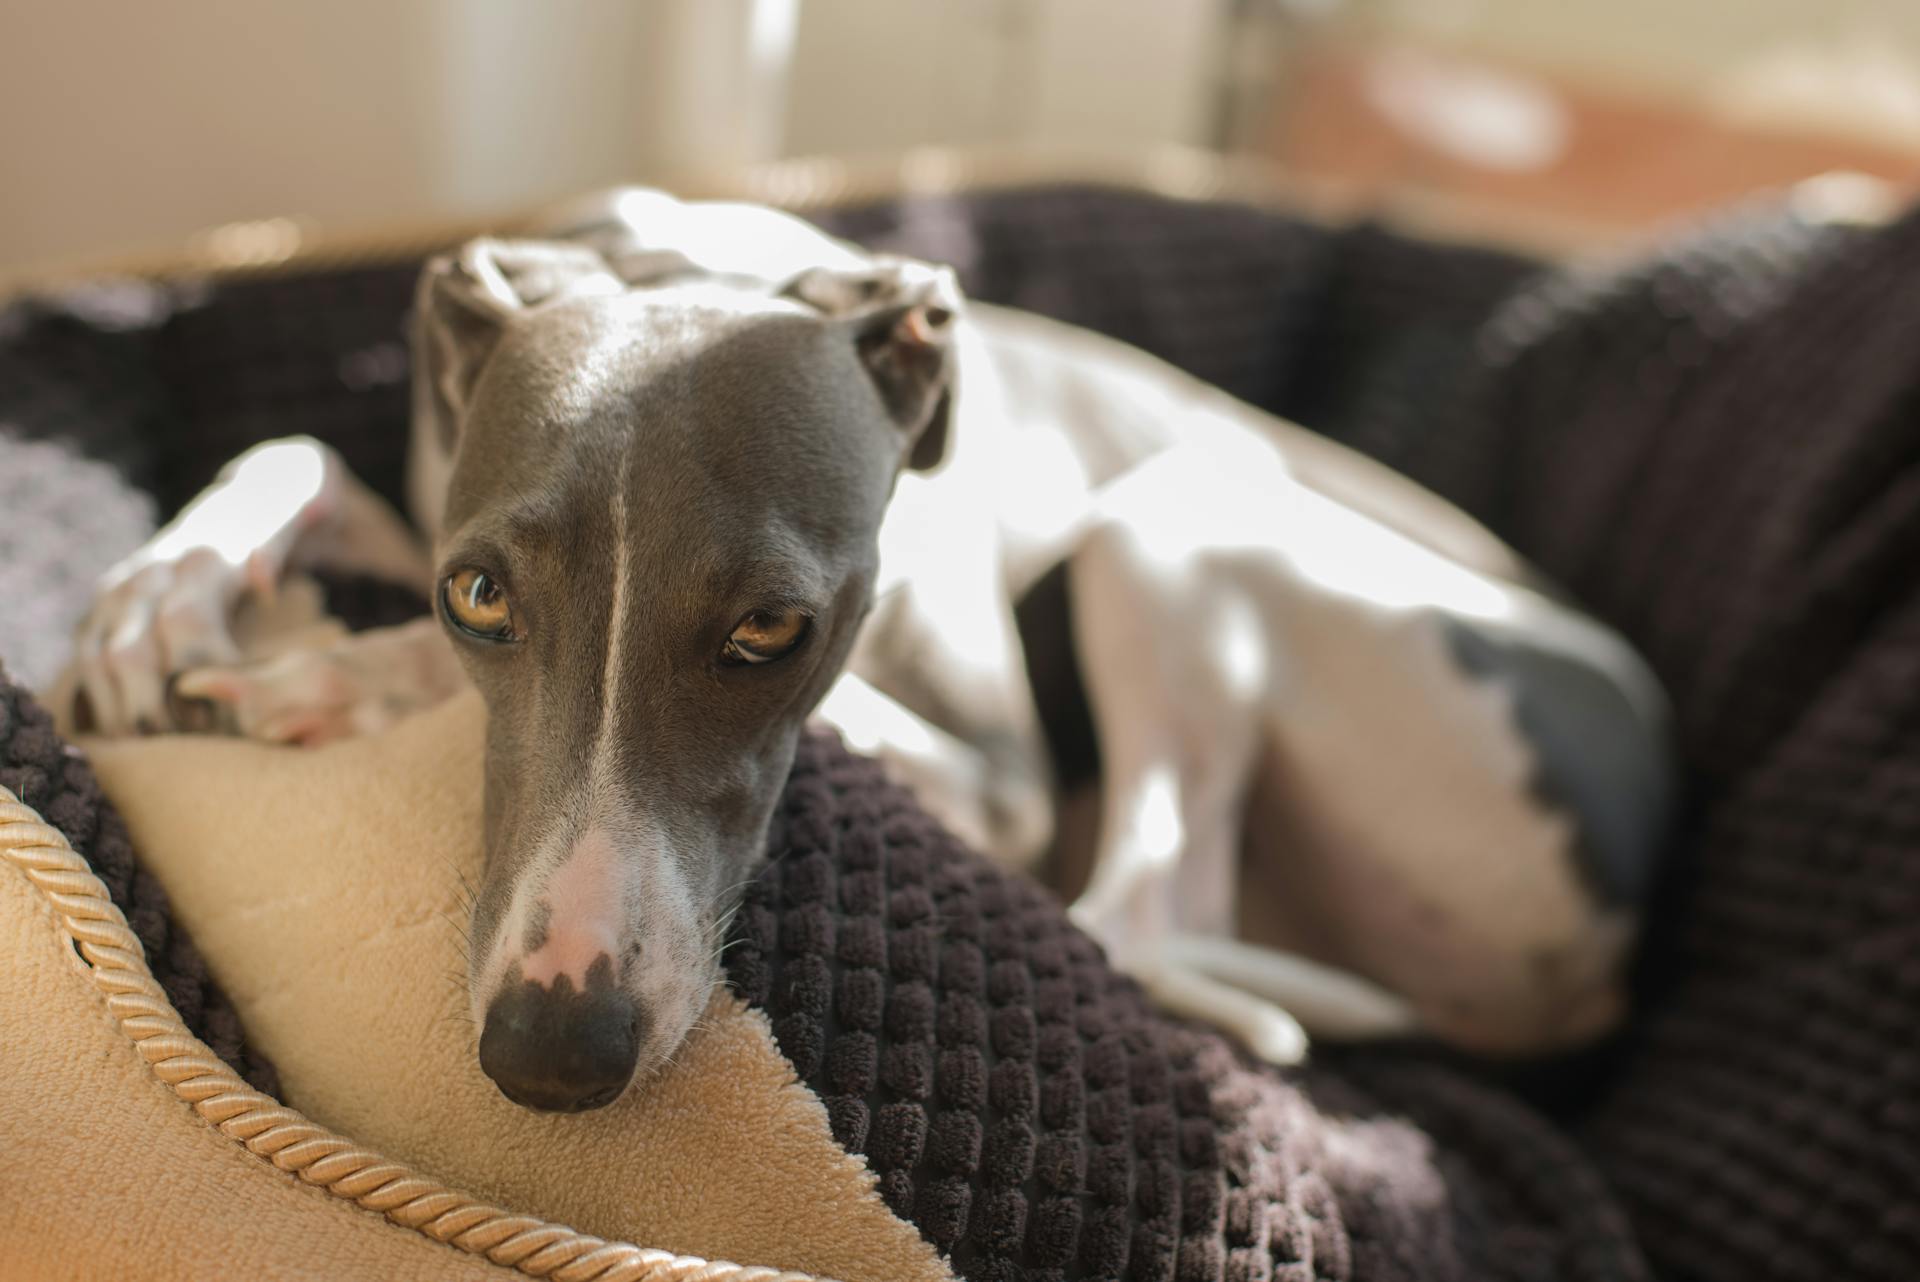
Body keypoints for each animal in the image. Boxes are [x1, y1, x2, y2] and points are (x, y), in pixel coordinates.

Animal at [67, 188, 1674, 1113]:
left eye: (774, 627)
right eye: (480, 596)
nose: (552, 1053)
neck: (682, 264)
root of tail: (1611, 945)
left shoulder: (997, 777)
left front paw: (337, 676)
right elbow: (305, 451)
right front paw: (160, 592)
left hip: (1172, 520)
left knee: (1137, 908)